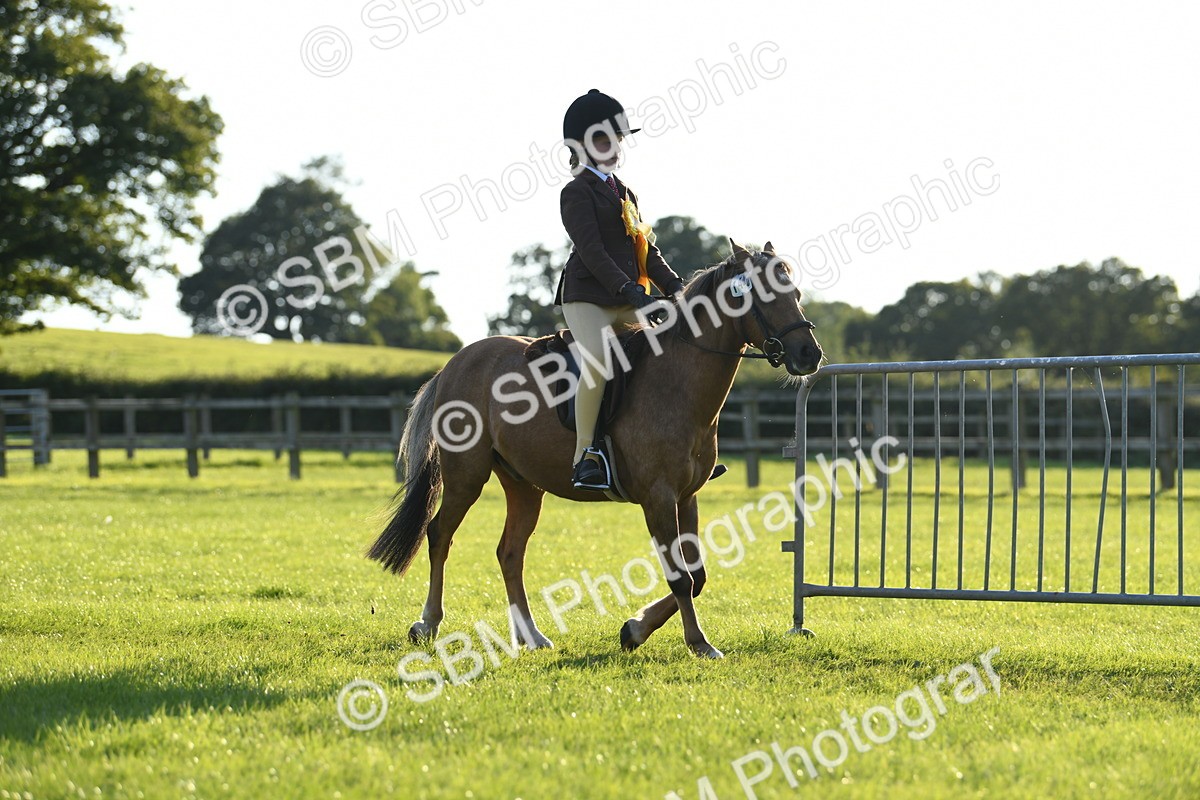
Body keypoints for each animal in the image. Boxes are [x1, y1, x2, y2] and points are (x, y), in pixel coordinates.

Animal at [367, 240, 823, 658]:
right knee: (439, 535)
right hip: (466, 476)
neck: (678, 383)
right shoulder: (658, 498)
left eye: (795, 292)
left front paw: (635, 629)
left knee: (510, 553)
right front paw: (697, 642)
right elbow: (681, 576)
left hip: (523, 485)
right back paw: (427, 624)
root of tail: (454, 363)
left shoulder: (687, 496)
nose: (809, 354)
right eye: (762, 294)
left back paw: (531, 636)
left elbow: (698, 574)